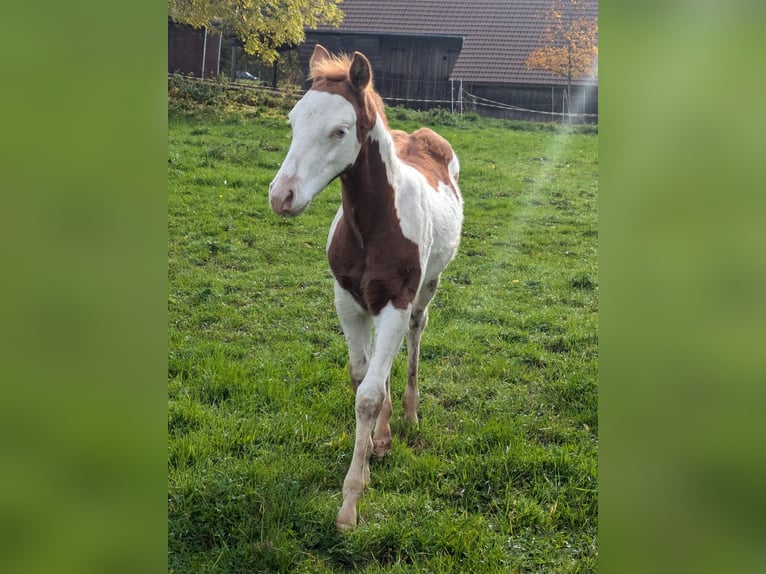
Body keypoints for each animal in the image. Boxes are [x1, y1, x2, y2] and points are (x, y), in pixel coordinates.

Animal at [270, 44, 462, 532]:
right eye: (293, 122)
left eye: (339, 131)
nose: (281, 197)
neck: (372, 226)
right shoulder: (348, 301)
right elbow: (362, 377)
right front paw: (375, 445)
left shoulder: (397, 299)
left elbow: (369, 395)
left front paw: (350, 504)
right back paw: (386, 435)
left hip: (426, 288)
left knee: (415, 335)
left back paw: (409, 414)